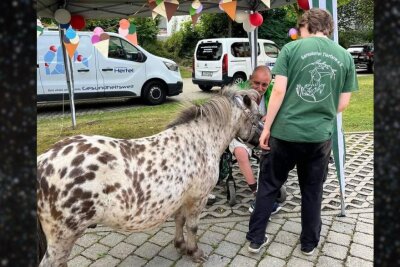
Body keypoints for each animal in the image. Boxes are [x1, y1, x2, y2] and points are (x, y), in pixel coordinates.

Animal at [37, 87, 262, 266]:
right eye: (257, 118)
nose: (263, 142)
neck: (201, 140)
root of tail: (43, 162)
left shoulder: (181, 198)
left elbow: (179, 221)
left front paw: (180, 246)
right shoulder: (198, 198)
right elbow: (192, 226)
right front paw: (195, 252)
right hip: (62, 238)